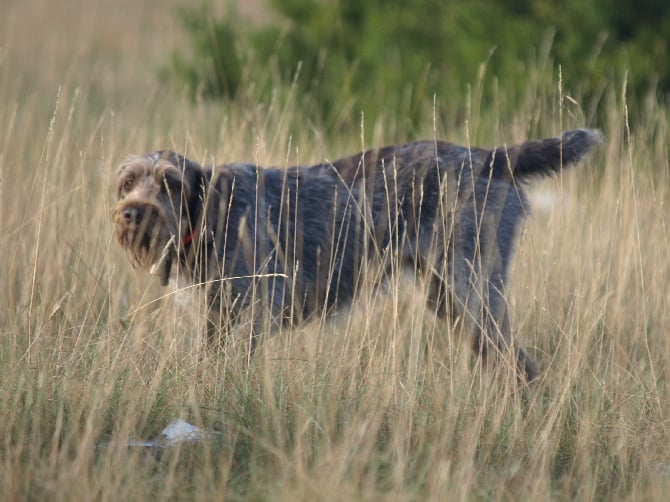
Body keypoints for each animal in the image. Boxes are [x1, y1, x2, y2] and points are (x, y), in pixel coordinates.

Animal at [114, 128, 604, 380]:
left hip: (473, 291)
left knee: (522, 365)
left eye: (170, 184)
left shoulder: (257, 308)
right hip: (449, 299)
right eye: (127, 182)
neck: (211, 215)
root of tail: (489, 157)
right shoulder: (214, 319)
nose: (133, 214)